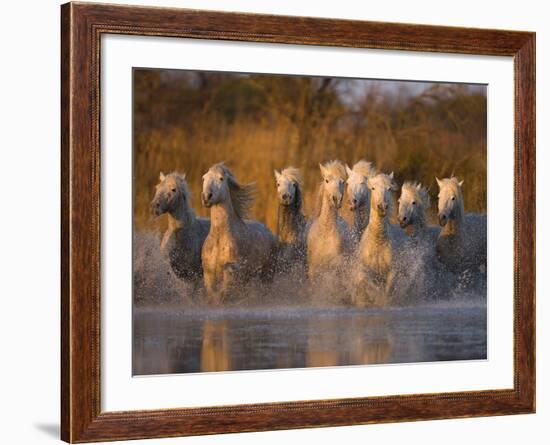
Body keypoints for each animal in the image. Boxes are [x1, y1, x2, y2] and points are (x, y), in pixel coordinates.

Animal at [202, 161, 276, 304]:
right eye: (204, 178)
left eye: (221, 178)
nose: (207, 197)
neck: (220, 237)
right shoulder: (208, 274)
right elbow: (213, 297)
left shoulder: (231, 272)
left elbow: (223, 296)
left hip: (266, 274)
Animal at [356, 172, 404, 306]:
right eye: (373, 188)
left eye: (389, 188)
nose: (382, 207)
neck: (378, 241)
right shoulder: (364, 270)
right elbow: (369, 284)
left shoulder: (392, 271)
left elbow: (387, 290)